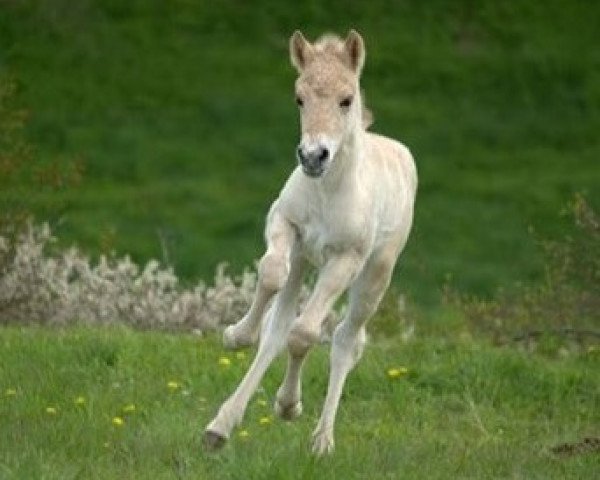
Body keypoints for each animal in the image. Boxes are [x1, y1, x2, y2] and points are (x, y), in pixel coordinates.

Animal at [204, 29, 414, 454]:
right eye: (299, 98)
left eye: (346, 99)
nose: (313, 156)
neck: (327, 190)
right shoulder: (284, 223)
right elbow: (270, 275)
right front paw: (236, 335)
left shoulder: (345, 260)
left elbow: (304, 334)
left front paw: (288, 406)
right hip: (303, 259)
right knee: (278, 326)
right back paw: (221, 425)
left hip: (374, 275)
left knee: (345, 340)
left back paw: (322, 440)